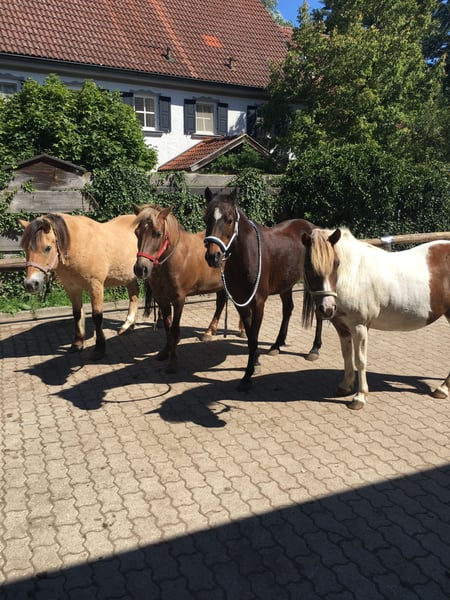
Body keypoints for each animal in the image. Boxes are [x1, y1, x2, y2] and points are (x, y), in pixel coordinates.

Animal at [19, 213, 141, 359]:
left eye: (47, 248)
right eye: (25, 248)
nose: (30, 284)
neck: (79, 245)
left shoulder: (95, 286)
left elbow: (97, 317)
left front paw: (99, 348)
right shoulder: (72, 288)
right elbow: (77, 314)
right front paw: (77, 344)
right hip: (129, 276)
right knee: (134, 295)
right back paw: (128, 326)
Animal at [133, 204, 243, 373]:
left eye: (157, 234)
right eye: (136, 232)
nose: (140, 269)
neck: (174, 257)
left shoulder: (179, 300)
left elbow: (175, 330)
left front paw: (173, 363)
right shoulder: (162, 299)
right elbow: (168, 328)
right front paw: (165, 352)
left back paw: (242, 330)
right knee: (220, 303)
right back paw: (209, 332)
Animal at [203, 187, 323, 391]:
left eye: (229, 220)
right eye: (206, 218)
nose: (213, 256)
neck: (247, 255)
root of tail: (312, 227)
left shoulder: (258, 303)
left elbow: (253, 338)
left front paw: (247, 376)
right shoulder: (241, 303)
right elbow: (250, 335)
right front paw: (255, 363)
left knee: (319, 311)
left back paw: (314, 349)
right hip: (286, 285)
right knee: (288, 309)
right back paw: (276, 345)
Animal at [301, 226, 450, 410]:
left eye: (336, 263)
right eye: (308, 266)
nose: (327, 308)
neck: (353, 275)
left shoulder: (359, 326)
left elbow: (360, 360)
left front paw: (360, 397)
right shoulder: (342, 327)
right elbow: (347, 356)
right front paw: (344, 387)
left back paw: (443, 389)